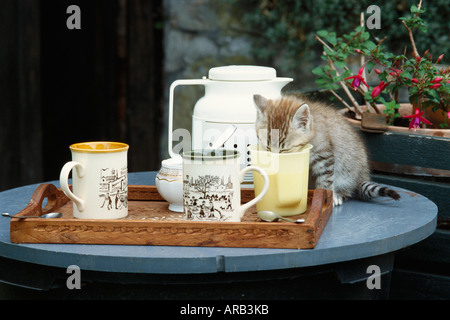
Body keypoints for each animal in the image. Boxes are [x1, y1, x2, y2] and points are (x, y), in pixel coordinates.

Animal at [253, 94, 400, 206]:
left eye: (284, 150)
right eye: (267, 147)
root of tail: (362, 176)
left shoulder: (325, 157)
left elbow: (325, 181)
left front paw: (324, 199)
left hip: (346, 171)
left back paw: (338, 196)